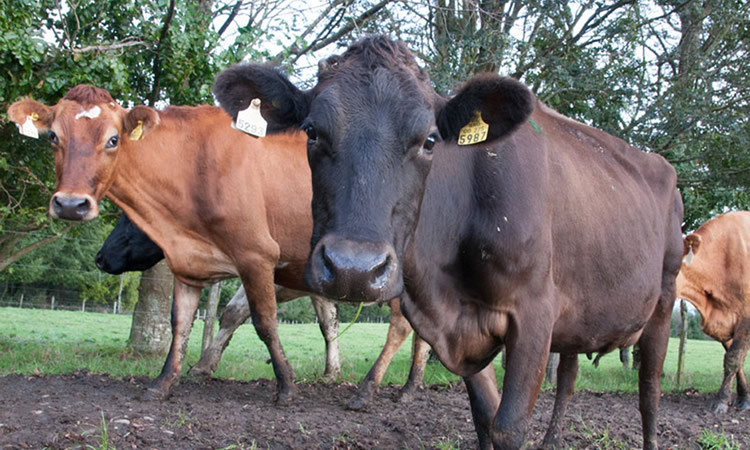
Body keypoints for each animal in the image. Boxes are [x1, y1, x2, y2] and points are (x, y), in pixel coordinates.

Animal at [7, 85, 428, 408]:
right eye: (53, 137)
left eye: (113, 139)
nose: (70, 204)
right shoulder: (187, 264)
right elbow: (180, 326)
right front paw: (164, 382)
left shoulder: (258, 256)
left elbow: (264, 322)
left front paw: (286, 386)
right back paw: (408, 389)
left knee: (400, 327)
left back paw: (367, 389)